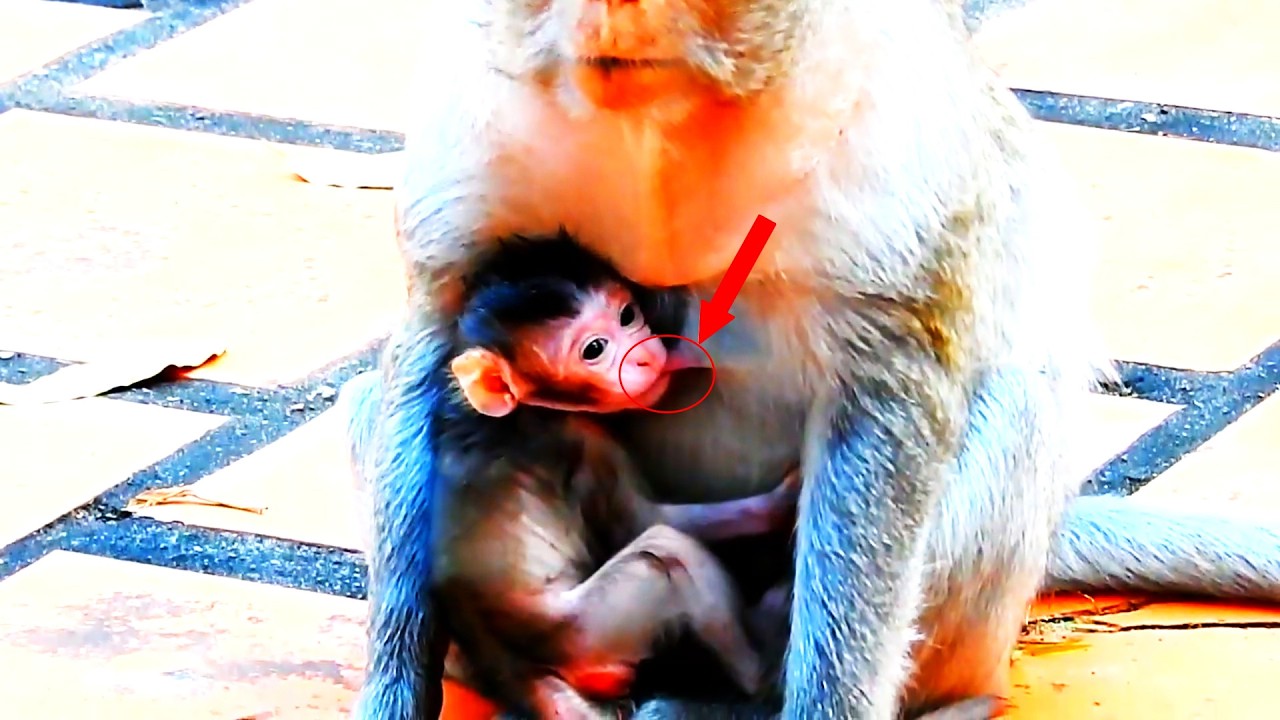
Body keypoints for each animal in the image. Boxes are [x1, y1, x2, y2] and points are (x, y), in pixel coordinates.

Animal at [423, 232, 803, 717]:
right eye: (594, 350)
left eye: (628, 316)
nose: (644, 357)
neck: (525, 409)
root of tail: (511, 672)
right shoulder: (580, 443)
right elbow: (643, 523)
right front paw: (783, 499)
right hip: (585, 634)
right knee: (663, 554)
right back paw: (763, 661)